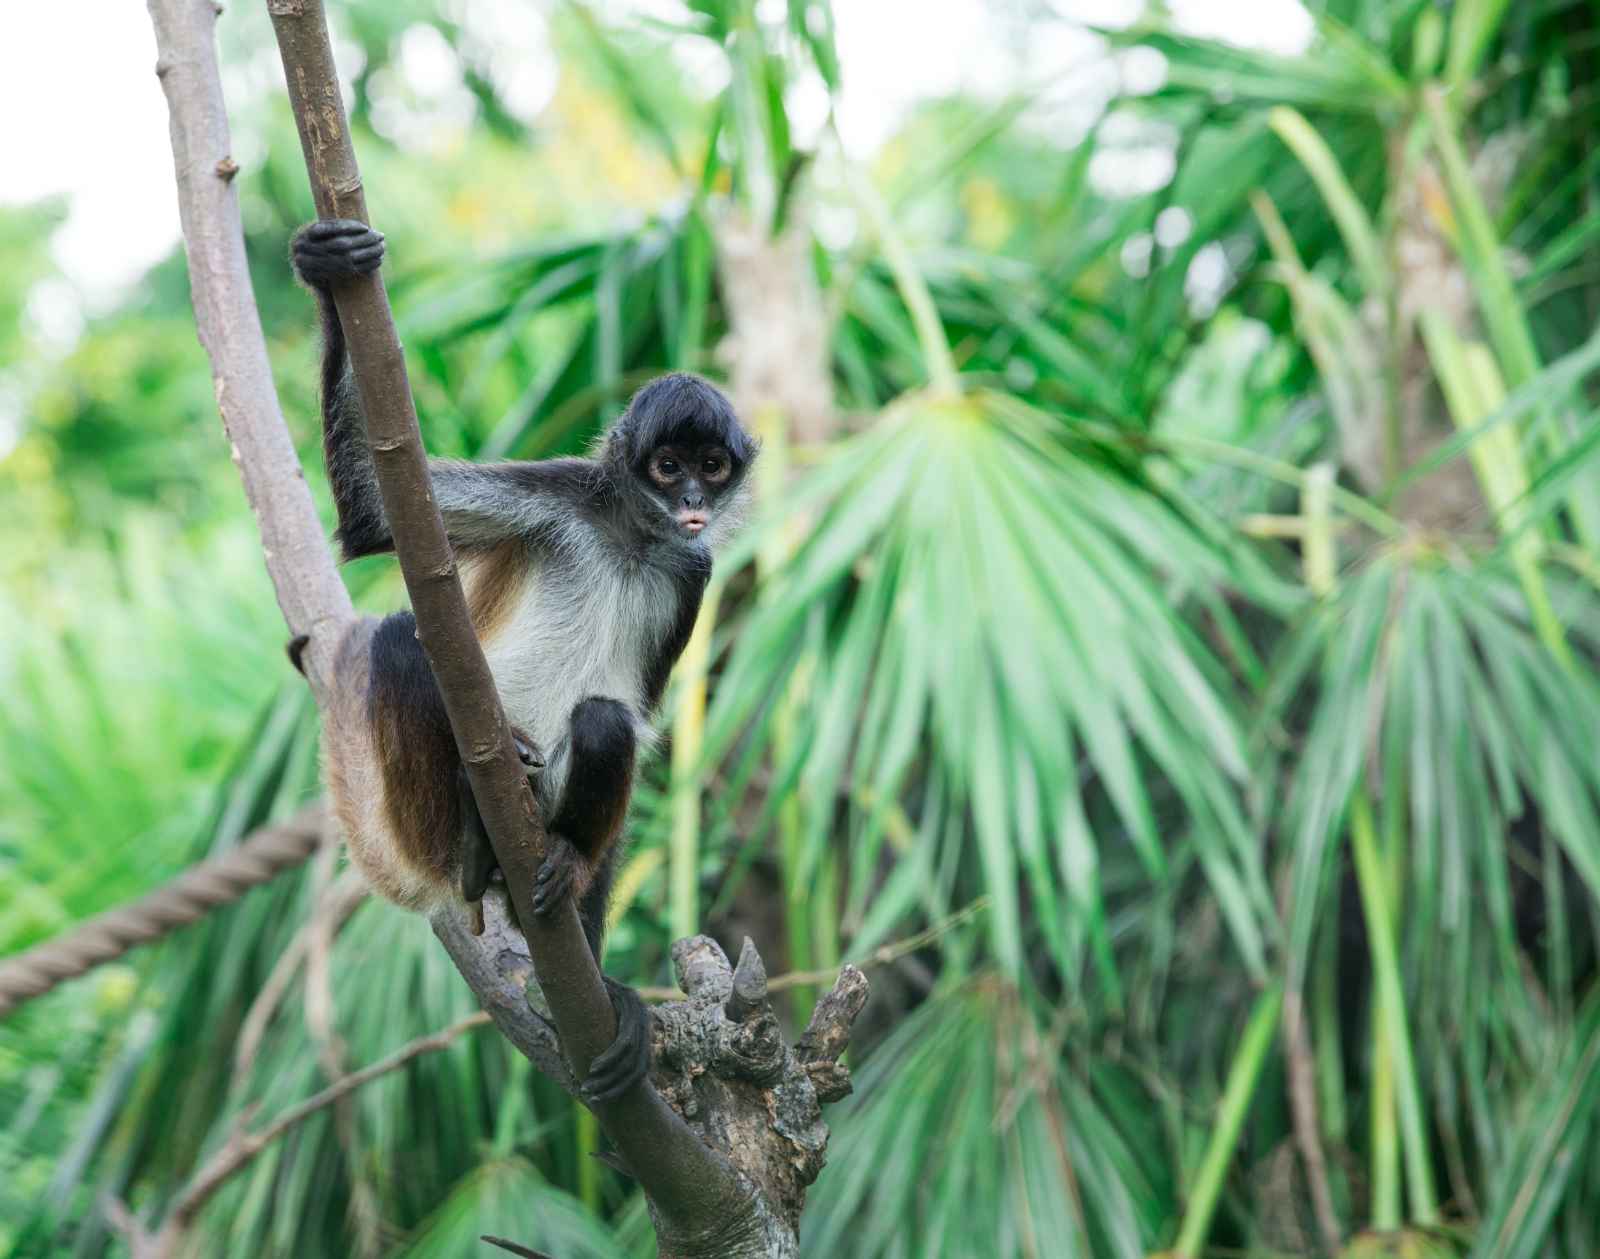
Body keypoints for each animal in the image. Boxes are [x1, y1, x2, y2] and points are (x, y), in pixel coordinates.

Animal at [289, 219, 755, 1100]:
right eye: (667, 465)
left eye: (712, 467)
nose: (691, 504)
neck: (630, 536)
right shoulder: (562, 494)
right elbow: (371, 512)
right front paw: (328, 266)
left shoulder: (692, 569)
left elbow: (637, 724)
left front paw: (605, 986)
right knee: (402, 635)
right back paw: (474, 837)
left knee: (604, 721)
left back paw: (559, 862)